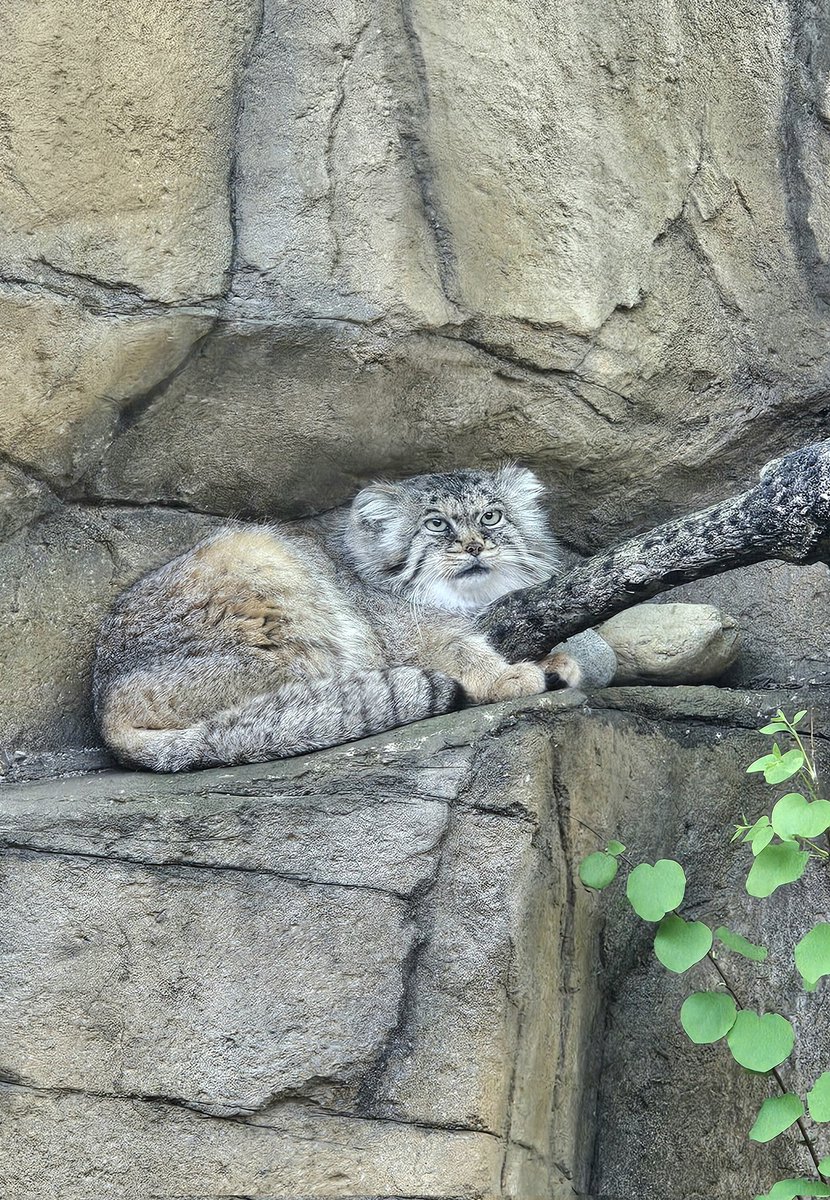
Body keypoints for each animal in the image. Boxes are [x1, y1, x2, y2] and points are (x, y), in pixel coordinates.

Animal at [94, 463, 580, 772]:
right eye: (436, 525)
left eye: (491, 516)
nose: (475, 547)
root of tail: (104, 713)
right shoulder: (406, 634)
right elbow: (456, 646)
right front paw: (505, 676)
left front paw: (552, 661)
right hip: (276, 596)